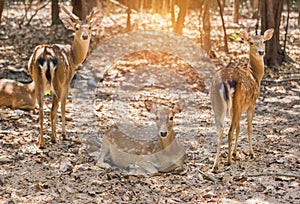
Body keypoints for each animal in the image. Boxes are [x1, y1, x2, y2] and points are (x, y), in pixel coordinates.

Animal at [27, 5, 102, 148]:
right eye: (76, 27)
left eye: (90, 27)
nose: (85, 36)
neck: (74, 57)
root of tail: (45, 56)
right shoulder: (67, 82)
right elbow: (63, 107)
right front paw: (63, 134)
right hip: (57, 79)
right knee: (53, 109)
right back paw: (53, 138)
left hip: (37, 80)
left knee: (41, 109)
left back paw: (41, 143)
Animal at [210, 28, 274, 172]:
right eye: (251, 42)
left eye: (263, 41)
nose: (261, 52)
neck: (255, 76)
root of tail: (224, 82)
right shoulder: (251, 103)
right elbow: (249, 128)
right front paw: (251, 153)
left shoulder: (238, 110)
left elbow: (239, 128)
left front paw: (235, 153)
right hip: (237, 101)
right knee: (229, 131)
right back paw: (228, 162)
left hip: (217, 105)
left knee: (220, 131)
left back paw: (215, 165)